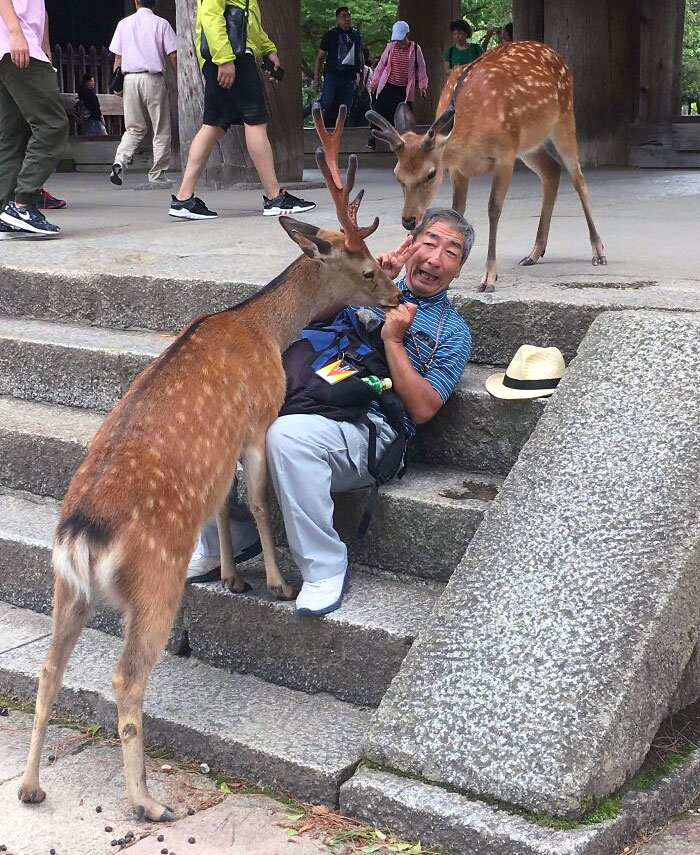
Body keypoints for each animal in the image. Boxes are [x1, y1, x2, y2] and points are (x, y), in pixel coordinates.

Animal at [17, 104, 402, 823]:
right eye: (367, 268)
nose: (395, 298)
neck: (263, 328)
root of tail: (81, 534)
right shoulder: (254, 420)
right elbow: (258, 501)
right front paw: (273, 582)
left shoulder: (220, 448)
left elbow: (223, 504)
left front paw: (231, 577)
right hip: (153, 580)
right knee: (125, 676)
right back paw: (146, 801)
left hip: (65, 586)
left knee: (50, 668)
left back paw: (30, 785)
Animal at [367, 40, 606, 291]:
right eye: (397, 175)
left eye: (431, 174)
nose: (408, 220)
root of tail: (557, 56)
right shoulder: (457, 168)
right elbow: (456, 211)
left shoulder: (505, 154)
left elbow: (493, 208)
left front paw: (489, 277)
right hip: (529, 145)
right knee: (551, 171)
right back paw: (534, 253)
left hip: (564, 119)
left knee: (578, 178)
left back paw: (598, 251)